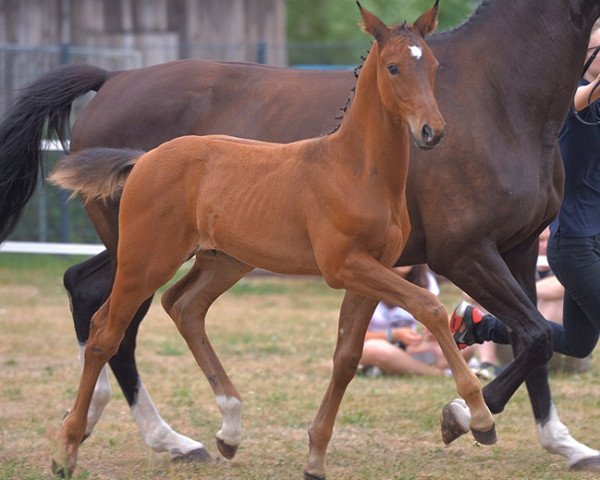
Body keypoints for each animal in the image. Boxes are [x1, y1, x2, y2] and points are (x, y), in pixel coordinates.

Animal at [50, 4, 492, 480]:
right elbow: (429, 306)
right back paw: (68, 448)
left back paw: (229, 429)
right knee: (105, 332)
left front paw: (315, 457)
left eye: (433, 66)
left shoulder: (374, 271)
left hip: (224, 260)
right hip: (144, 260)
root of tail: (144, 158)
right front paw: (480, 416)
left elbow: (347, 356)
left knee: (184, 307)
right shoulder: (344, 267)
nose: (433, 131)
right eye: (393, 67)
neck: (356, 169)